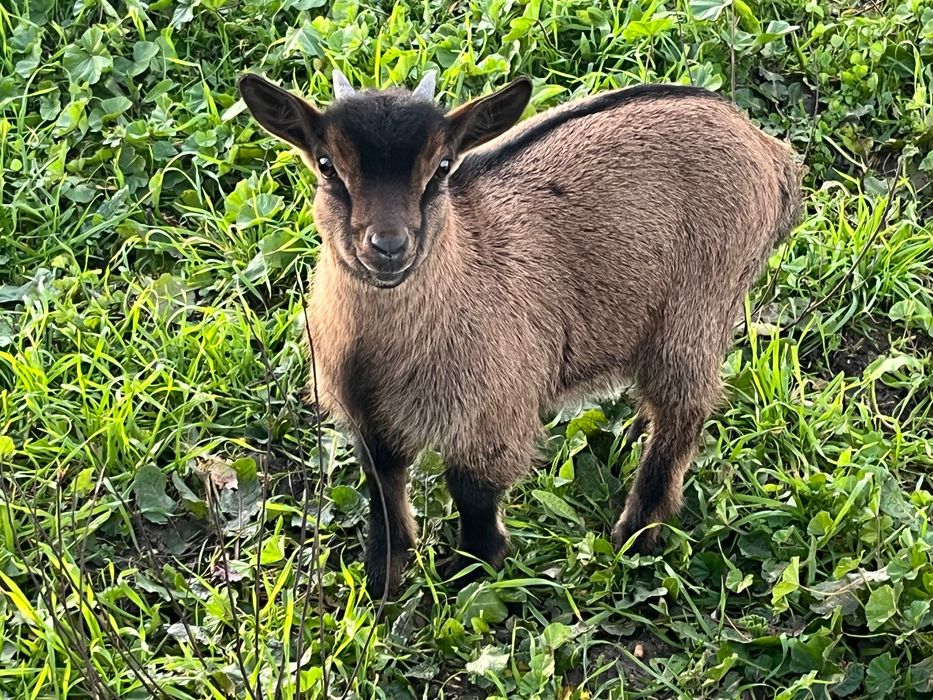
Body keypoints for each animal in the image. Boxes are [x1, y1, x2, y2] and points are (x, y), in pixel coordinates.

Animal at [239, 70, 801, 598]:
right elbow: (382, 488)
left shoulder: (494, 415)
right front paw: (383, 581)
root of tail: (768, 150)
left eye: (442, 167)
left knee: (683, 413)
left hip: (697, 311)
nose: (389, 247)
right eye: (326, 164)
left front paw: (475, 571)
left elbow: (472, 493)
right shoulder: (367, 420)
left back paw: (636, 532)